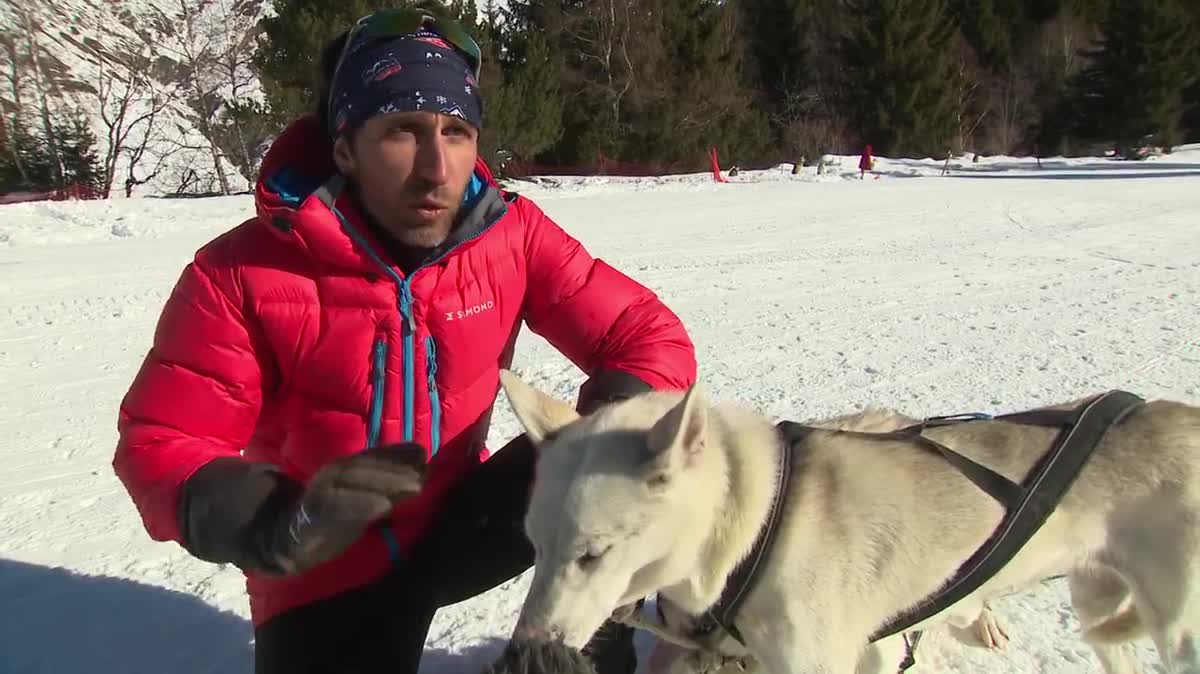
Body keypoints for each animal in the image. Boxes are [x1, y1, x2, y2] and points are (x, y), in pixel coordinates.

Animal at [496, 369, 1200, 671]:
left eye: (594, 552)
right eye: (534, 548)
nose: (527, 648)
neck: (757, 532)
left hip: (1176, 630)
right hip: (1097, 602)